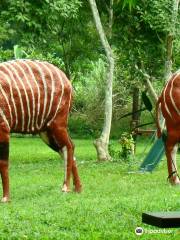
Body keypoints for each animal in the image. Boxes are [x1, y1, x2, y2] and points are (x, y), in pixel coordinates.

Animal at [0, 59, 81, 202]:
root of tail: (67, 81)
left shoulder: (4, 127)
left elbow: (3, 163)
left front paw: (5, 198)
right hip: (46, 131)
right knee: (67, 148)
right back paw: (77, 189)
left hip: (57, 124)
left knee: (69, 146)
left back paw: (66, 188)